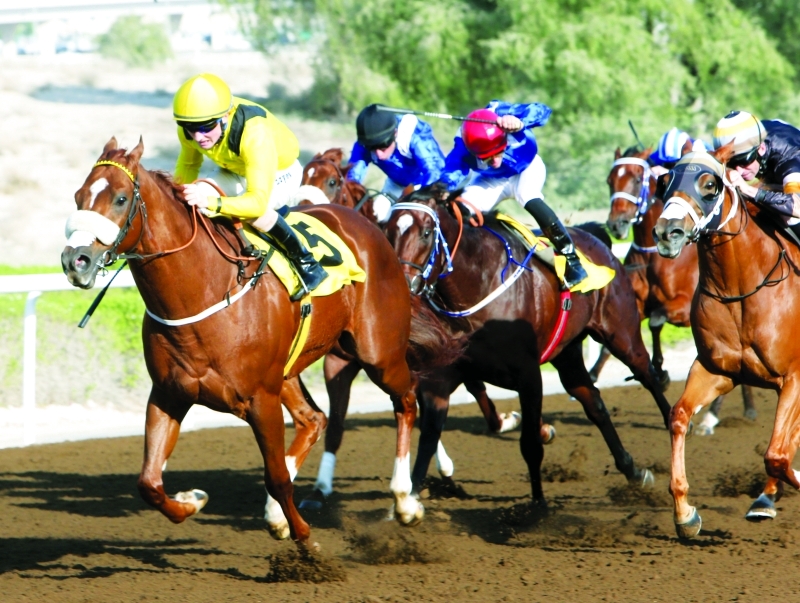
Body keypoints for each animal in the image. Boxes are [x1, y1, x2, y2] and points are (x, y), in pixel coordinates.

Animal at [61, 139, 462, 544]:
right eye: (78, 197)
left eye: (121, 198)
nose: (75, 261)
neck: (203, 292)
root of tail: (373, 231)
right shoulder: (168, 394)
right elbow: (149, 483)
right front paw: (193, 500)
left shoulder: (260, 399)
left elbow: (277, 477)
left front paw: (306, 539)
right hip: (290, 369)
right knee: (314, 419)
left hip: (378, 353)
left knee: (406, 399)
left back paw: (405, 500)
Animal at [384, 185, 672, 504]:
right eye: (387, 230)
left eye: (425, 232)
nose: (402, 286)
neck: (478, 285)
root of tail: (596, 239)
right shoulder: (441, 376)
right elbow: (429, 436)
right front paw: (408, 501)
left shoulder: (529, 375)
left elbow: (531, 444)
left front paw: (537, 507)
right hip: (567, 353)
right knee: (593, 402)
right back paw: (632, 470)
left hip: (621, 333)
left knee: (646, 374)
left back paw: (675, 424)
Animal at [608, 146, 756, 432]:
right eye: (610, 180)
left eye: (636, 178)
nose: (615, 225)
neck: (652, 258)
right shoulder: (633, 303)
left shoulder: (684, 308)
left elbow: (656, 319)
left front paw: (661, 372)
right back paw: (748, 408)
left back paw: (712, 417)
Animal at [652, 145, 796, 536]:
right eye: (665, 181)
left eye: (710, 184)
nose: (667, 232)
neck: (742, 288)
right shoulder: (716, 369)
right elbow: (678, 416)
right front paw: (685, 514)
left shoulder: (794, 376)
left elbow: (777, 454)